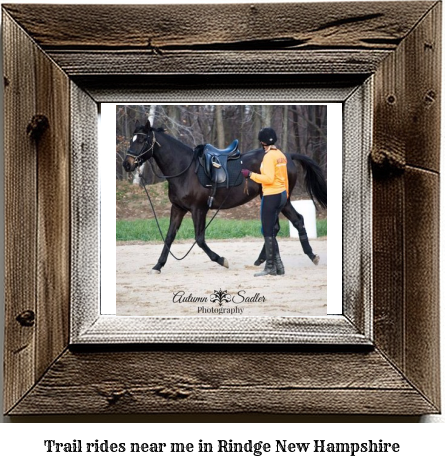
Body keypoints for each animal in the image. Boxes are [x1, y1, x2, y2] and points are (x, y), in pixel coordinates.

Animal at [123, 120, 324, 272]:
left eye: (142, 140)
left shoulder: (199, 209)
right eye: (132, 139)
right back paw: (262, 259)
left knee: (297, 220)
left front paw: (221, 260)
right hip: (270, 199)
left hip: (282, 199)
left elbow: (199, 239)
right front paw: (158, 265)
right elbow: (169, 236)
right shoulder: (178, 208)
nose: (127, 164)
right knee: (275, 227)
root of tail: (287, 155)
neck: (184, 170)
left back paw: (311, 255)